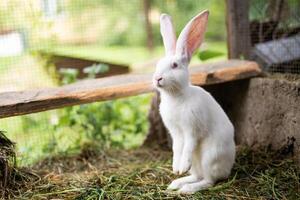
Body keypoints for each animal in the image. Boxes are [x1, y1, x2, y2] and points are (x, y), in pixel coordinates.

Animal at [154, 10, 236, 194]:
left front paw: (181, 167)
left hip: (209, 157)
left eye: (174, 65)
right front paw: (176, 169)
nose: (157, 78)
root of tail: (228, 169)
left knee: (209, 181)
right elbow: (177, 148)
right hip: (198, 164)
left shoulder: (192, 129)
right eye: (157, 64)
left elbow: (188, 147)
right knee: (197, 176)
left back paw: (187, 189)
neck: (176, 96)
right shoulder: (176, 133)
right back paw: (177, 183)